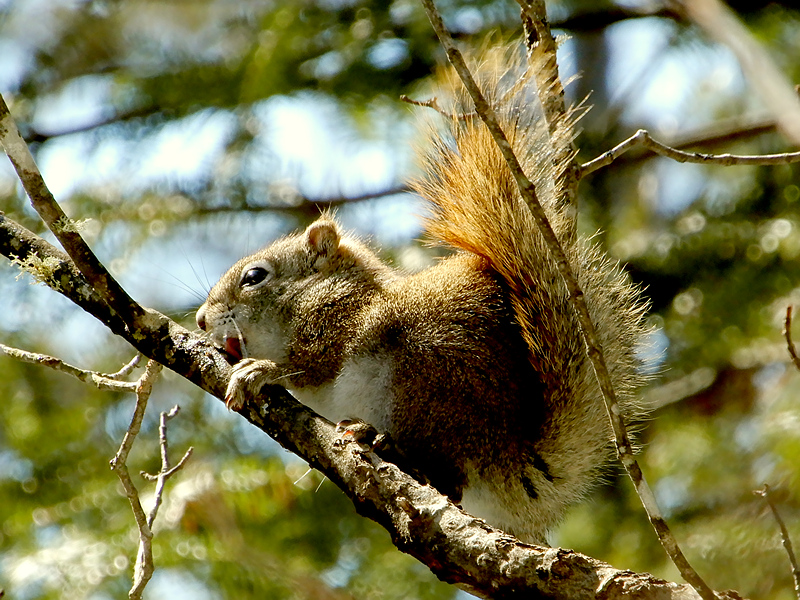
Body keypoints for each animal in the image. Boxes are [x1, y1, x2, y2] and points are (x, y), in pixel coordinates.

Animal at [195, 42, 648, 544]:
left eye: (254, 277)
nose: (200, 319)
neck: (321, 294)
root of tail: (506, 457)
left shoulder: (338, 323)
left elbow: (308, 366)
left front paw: (260, 370)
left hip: (423, 375)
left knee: (448, 477)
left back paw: (385, 445)